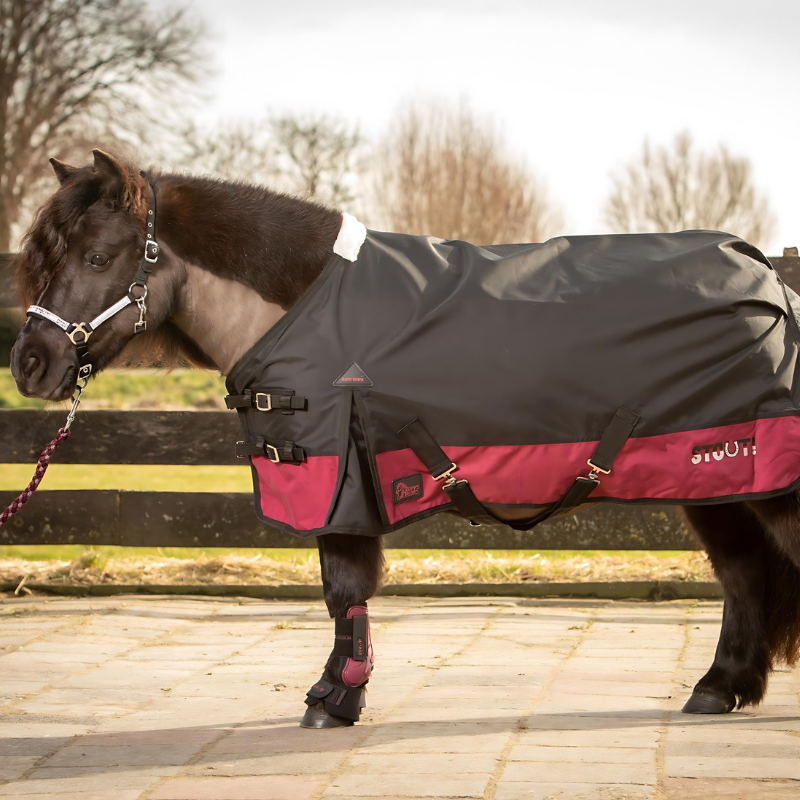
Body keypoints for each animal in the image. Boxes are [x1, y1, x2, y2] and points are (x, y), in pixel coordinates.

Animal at [9, 150, 800, 728]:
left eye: (99, 257)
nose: (30, 364)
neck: (304, 308)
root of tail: (768, 279)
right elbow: (343, 598)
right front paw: (336, 694)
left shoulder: (339, 484)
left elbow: (344, 590)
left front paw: (336, 699)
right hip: (718, 480)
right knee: (743, 574)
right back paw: (717, 688)